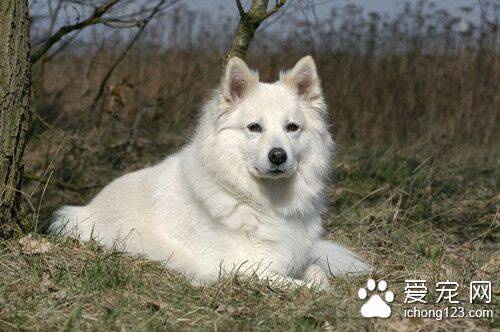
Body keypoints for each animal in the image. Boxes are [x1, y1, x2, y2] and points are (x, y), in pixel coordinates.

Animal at [51, 55, 372, 290]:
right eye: (254, 127)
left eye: (292, 127)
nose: (278, 156)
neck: (261, 202)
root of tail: (88, 205)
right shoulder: (241, 269)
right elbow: (310, 287)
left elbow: (317, 273)